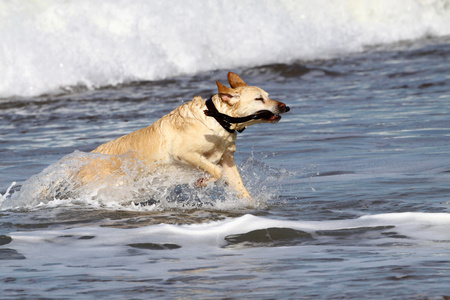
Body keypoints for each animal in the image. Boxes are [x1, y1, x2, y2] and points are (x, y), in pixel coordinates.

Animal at [77, 72, 288, 200]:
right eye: (259, 99)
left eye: (268, 95)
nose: (285, 106)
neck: (216, 119)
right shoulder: (185, 154)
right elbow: (216, 171)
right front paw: (202, 182)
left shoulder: (227, 159)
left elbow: (239, 186)